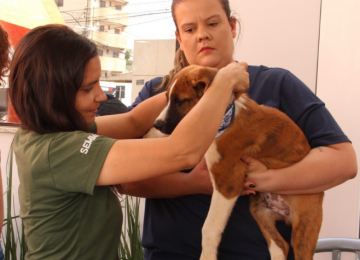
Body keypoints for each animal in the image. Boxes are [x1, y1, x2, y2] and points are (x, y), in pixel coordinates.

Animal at [145, 65, 324, 260]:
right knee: (280, 246)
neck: (223, 115)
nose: (157, 124)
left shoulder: (227, 181)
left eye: (180, 101)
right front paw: (149, 134)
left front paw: (207, 256)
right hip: (259, 210)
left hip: (304, 224)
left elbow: (209, 227)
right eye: (167, 98)